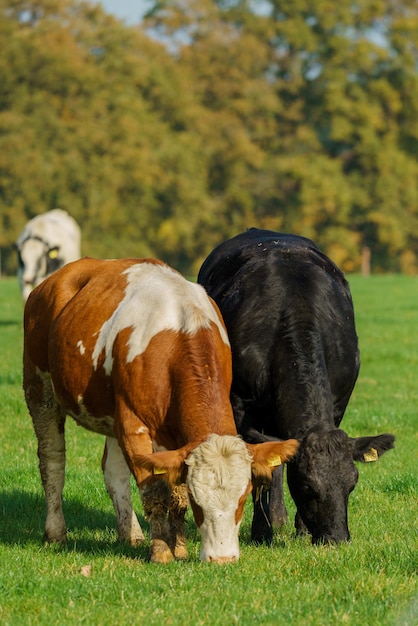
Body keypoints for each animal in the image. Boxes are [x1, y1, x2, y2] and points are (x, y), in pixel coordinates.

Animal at [22, 256, 298, 564]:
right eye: (198, 501)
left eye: (244, 496)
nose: (222, 558)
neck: (182, 333)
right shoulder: (133, 425)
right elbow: (154, 491)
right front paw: (161, 551)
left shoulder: (174, 438)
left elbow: (174, 493)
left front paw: (179, 547)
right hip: (39, 387)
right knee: (52, 461)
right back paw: (55, 532)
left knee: (113, 472)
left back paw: (130, 534)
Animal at [198, 229, 396, 540]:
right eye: (307, 486)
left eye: (352, 484)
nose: (336, 539)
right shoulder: (241, 405)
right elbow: (260, 469)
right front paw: (261, 532)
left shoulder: (339, 402)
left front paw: (301, 530)